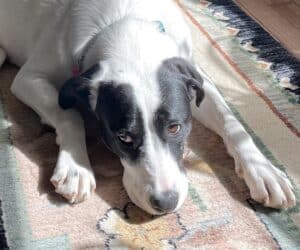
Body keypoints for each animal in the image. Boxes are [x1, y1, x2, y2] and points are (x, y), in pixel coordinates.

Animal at [0, 0, 296, 215]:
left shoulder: (195, 77)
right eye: (123, 137)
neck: (125, 23)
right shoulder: (29, 78)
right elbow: (70, 114)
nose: (166, 204)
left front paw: (262, 169)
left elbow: (231, 121)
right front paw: (76, 166)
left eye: (175, 127)